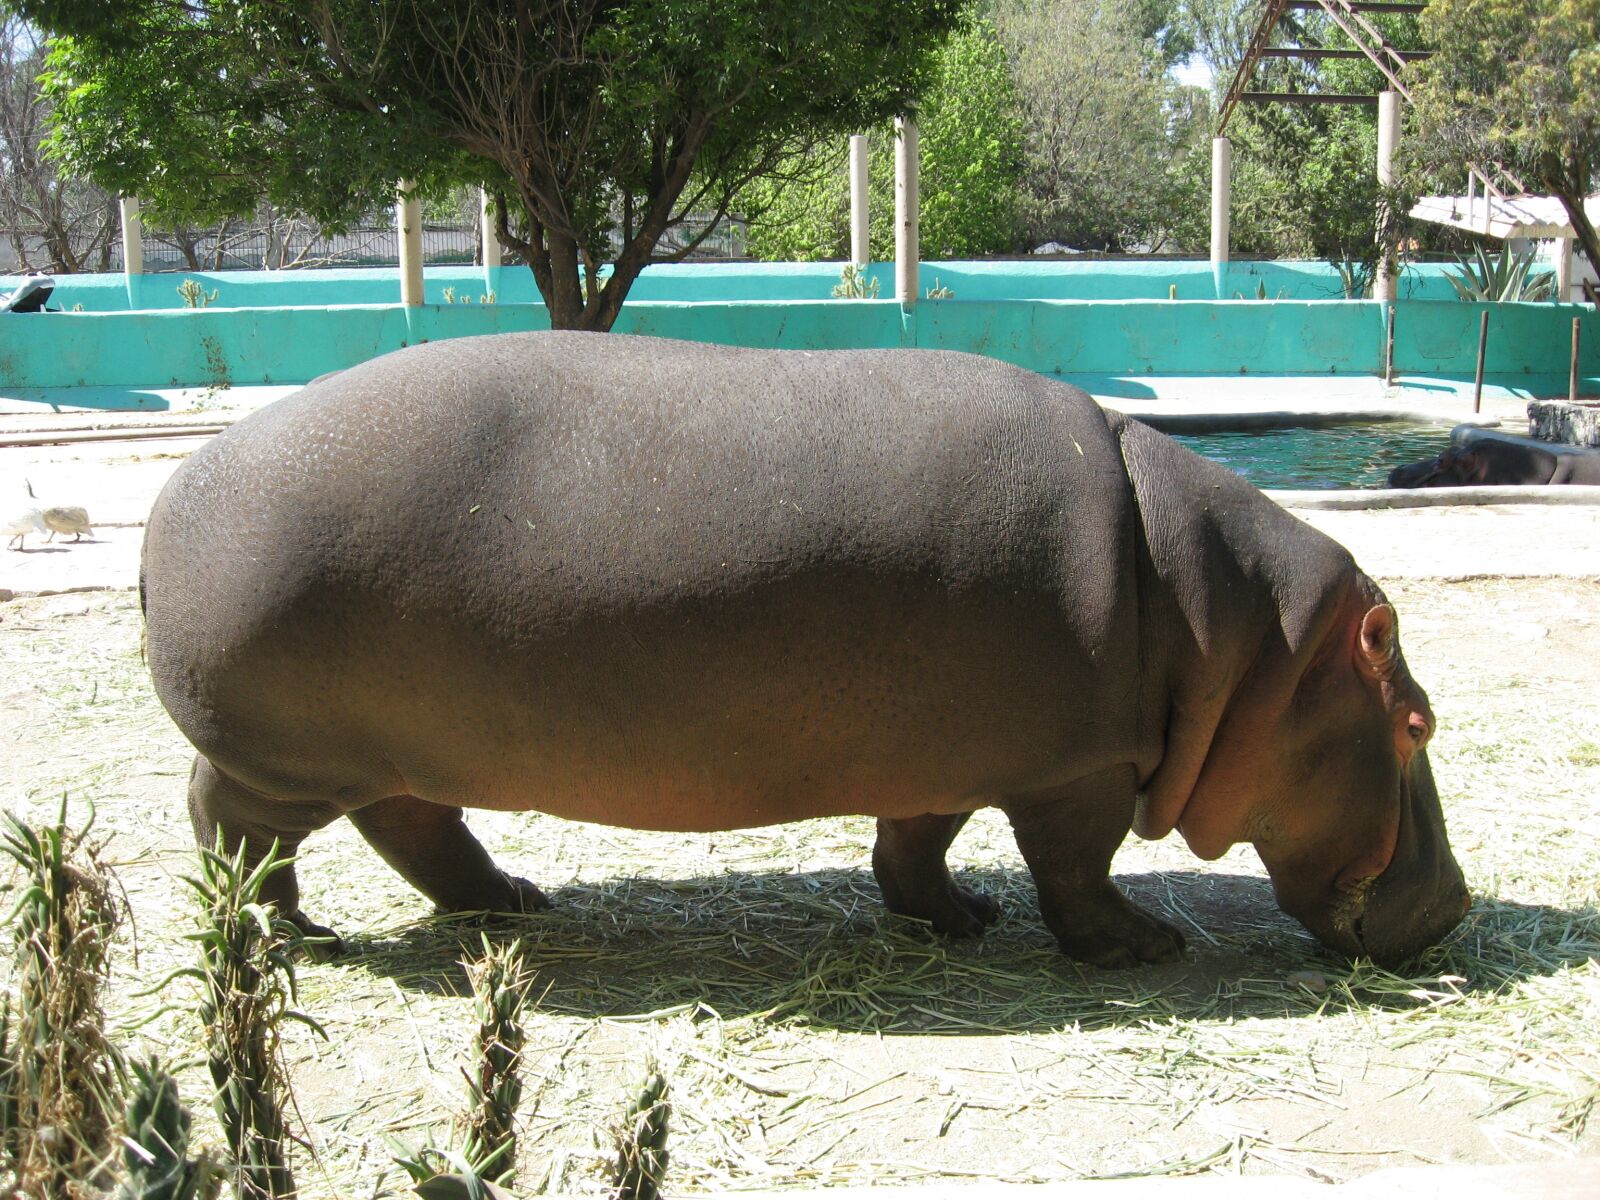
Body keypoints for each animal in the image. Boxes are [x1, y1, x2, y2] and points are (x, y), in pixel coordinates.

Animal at [144, 334, 1465, 972]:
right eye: (1417, 721)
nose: (1454, 908)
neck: (1246, 641)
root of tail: (172, 498)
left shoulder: (948, 753)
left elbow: (915, 845)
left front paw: (959, 920)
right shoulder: (1076, 766)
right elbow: (1076, 871)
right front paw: (1146, 948)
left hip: (384, 755)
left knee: (415, 828)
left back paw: (516, 904)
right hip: (285, 759)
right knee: (231, 825)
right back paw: (284, 935)